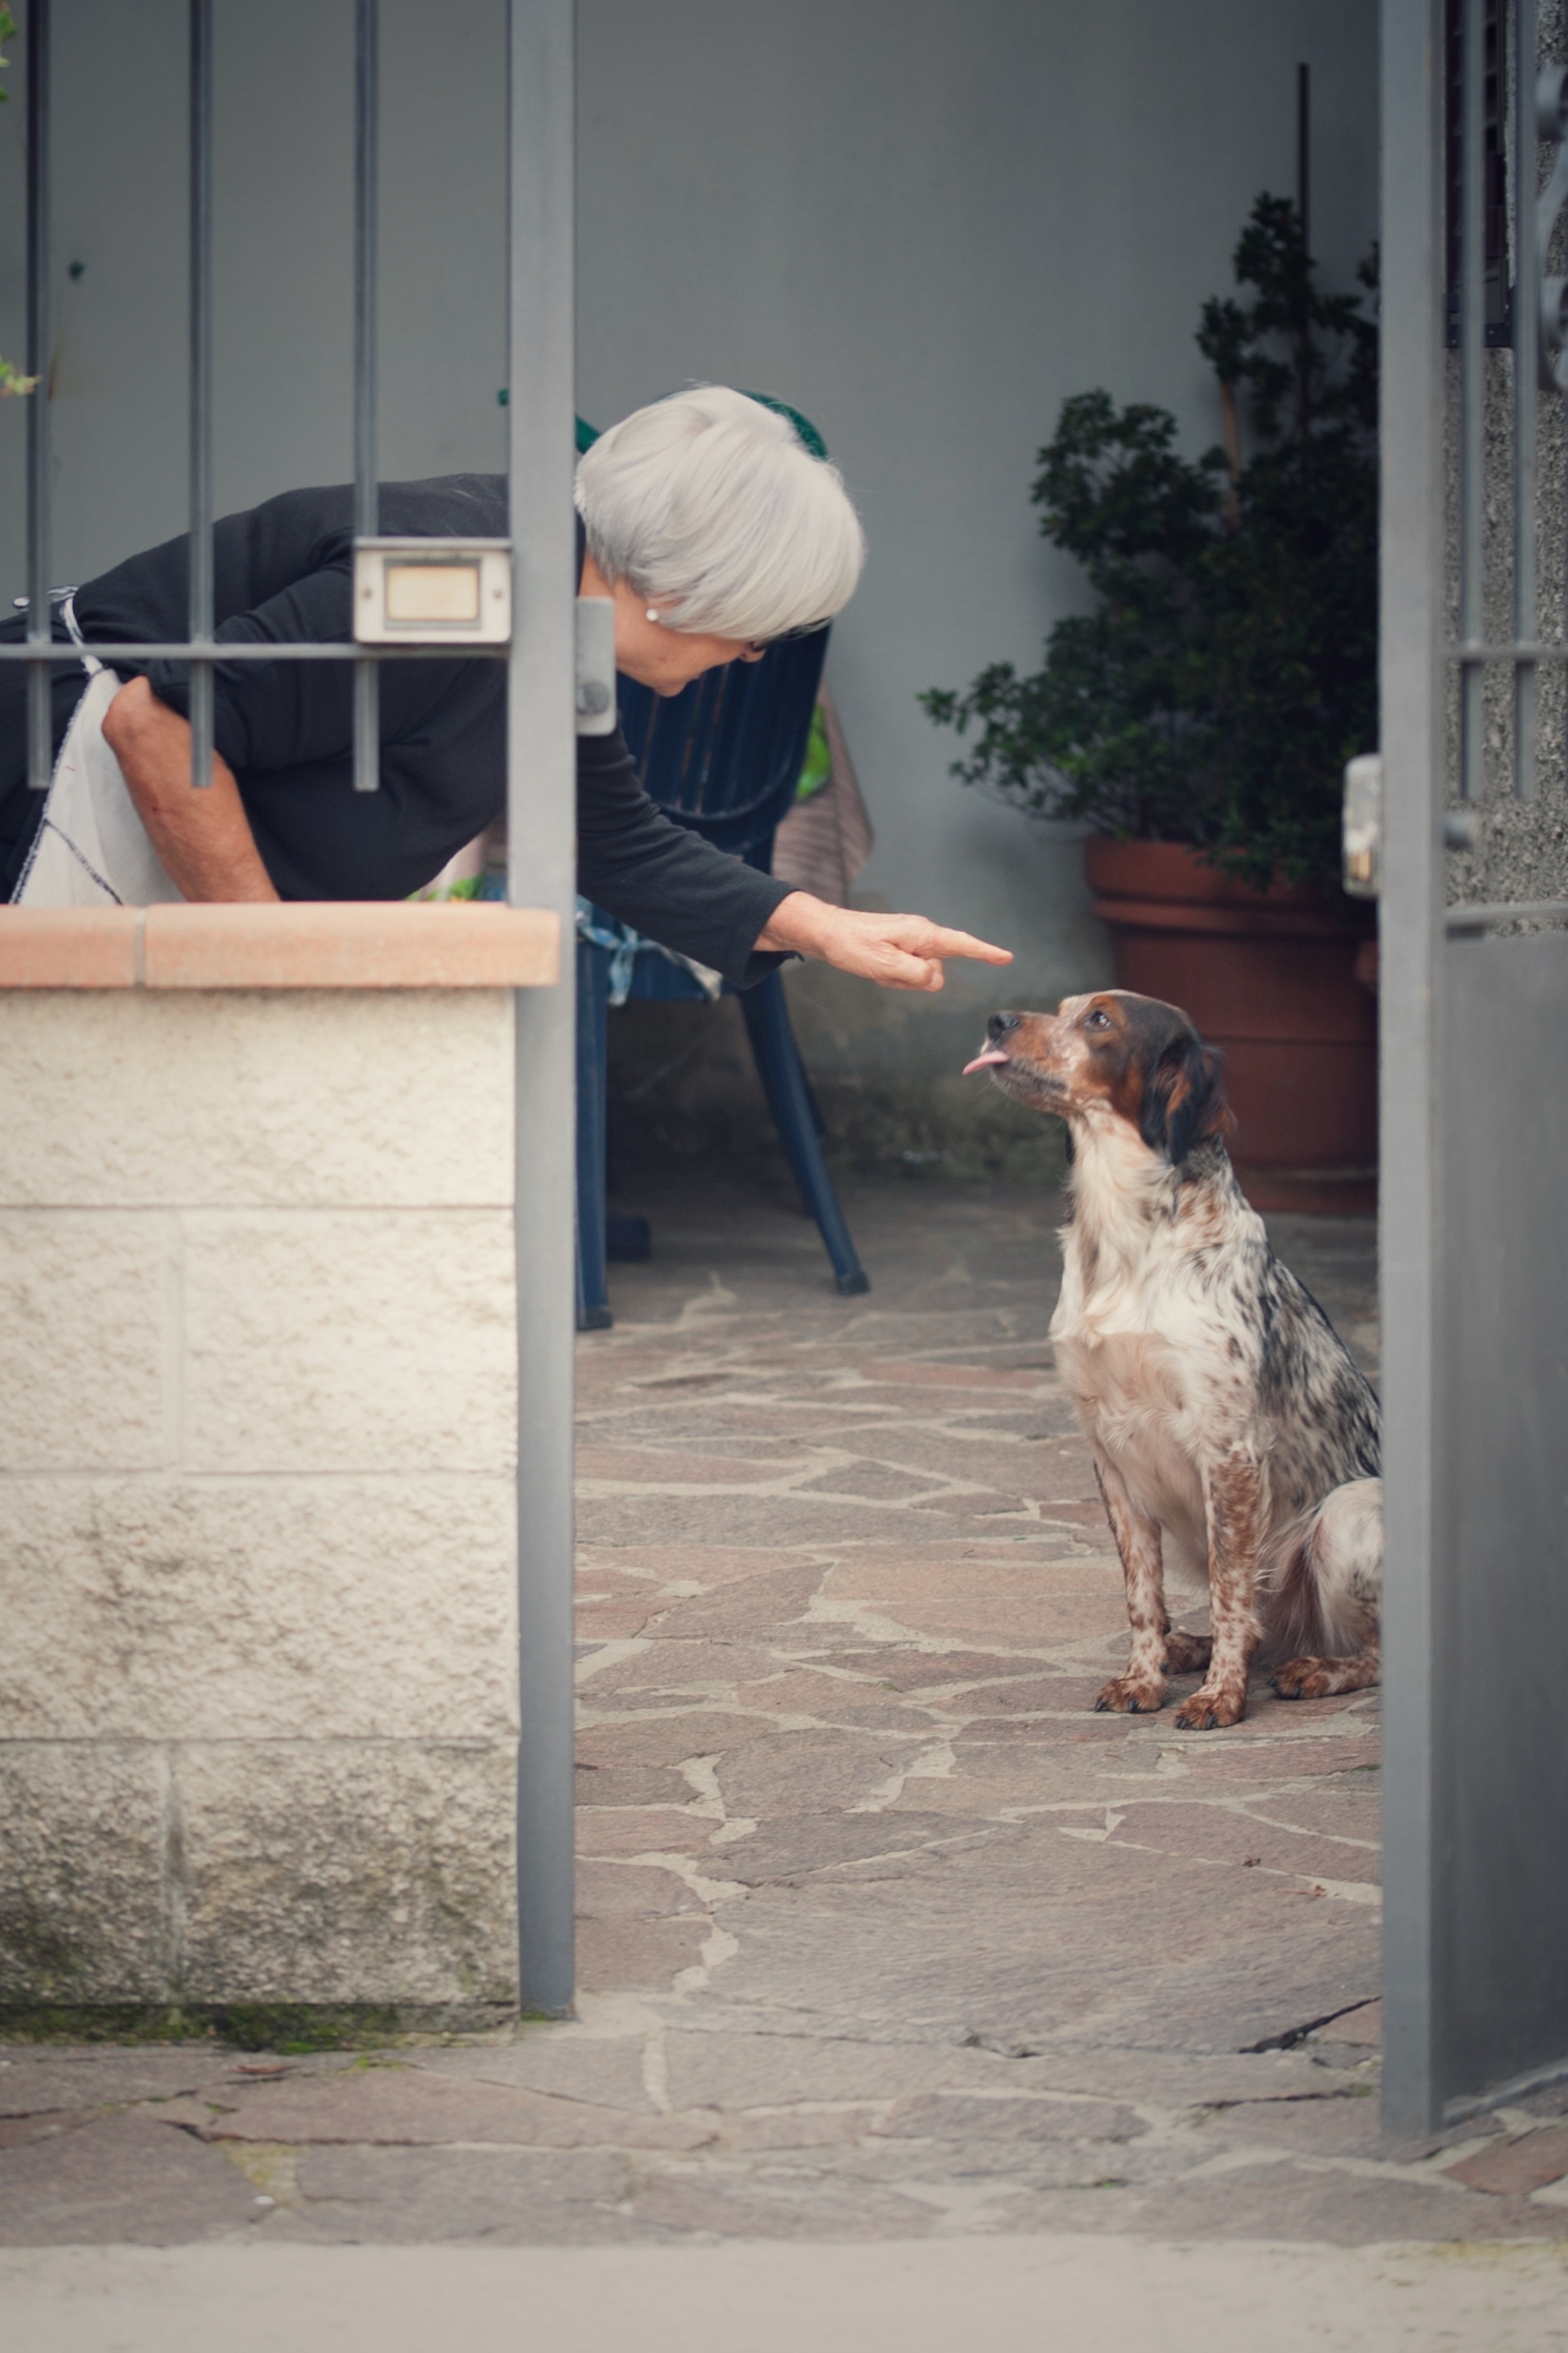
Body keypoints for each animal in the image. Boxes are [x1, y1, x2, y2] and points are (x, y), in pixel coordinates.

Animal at [963, 993, 1382, 1731]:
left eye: (1099, 1020)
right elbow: (1142, 1596)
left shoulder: (1229, 1451)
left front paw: (1221, 1695)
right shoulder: (1110, 1454)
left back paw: (1316, 1669)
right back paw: (1191, 1648)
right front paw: (1146, 1676)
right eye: (1064, 1007)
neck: (1124, 1244)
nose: (996, 1020)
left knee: (1371, 1649)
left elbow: (1228, 1586)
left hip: (1345, 1512)